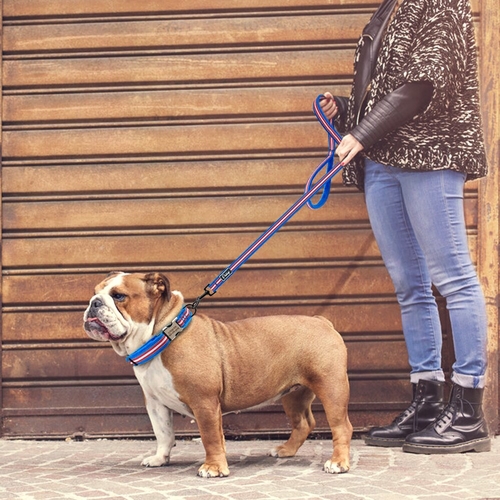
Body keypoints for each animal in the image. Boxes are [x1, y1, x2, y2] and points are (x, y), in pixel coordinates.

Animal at [83, 272, 352, 477]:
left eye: (119, 296)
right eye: (94, 292)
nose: (94, 302)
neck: (163, 335)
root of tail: (321, 321)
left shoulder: (204, 402)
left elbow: (210, 437)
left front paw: (213, 467)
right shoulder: (155, 402)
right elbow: (163, 433)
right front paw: (160, 458)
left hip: (331, 387)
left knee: (341, 426)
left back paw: (338, 463)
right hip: (293, 394)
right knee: (303, 423)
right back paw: (286, 450)